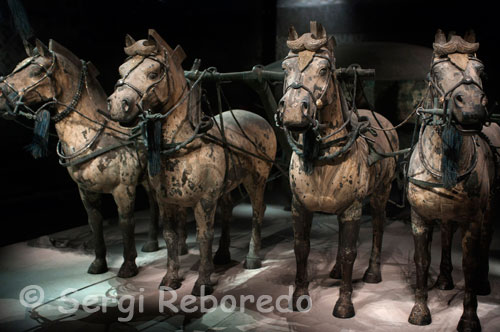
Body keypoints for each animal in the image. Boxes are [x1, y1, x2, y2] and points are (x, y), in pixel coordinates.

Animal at [0, 38, 172, 278]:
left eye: (35, 71)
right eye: (17, 66)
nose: (0, 96)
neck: (95, 137)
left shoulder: (123, 189)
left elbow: (126, 222)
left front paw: (128, 266)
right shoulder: (86, 192)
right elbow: (94, 223)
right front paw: (98, 264)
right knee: (154, 204)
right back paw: (151, 244)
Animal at [107, 30, 278, 296]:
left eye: (153, 73)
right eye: (121, 69)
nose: (117, 105)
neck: (185, 146)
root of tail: (259, 118)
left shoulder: (204, 200)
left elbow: (204, 236)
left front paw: (203, 282)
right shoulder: (166, 201)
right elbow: (170, 237)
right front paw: (170, 278)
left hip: (257, 180)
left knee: (257, 212)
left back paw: (252, 257)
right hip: (227, 187)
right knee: (228, 211)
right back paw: (223, 254)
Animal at [278, 22, 398, 318]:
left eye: (323, 69)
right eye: (285, 67)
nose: (294, 112)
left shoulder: (352, 209)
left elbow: (348, 252)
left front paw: (344, 304)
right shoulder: (300, 206)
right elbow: (301, 248)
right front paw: (300, 296)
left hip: (381, 194)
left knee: (378, 227)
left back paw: (372, 272)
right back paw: (334, 270)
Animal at [408, 29, 498, 332]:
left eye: (481, 69)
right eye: (436, 71)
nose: (471, 108)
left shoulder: (473, 220)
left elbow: (470, 263)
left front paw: (469, 318)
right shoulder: (420, 218)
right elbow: (422, 260)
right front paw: (420, 311)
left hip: (489, 211)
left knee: (486, 239)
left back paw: (483, 283)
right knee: (446, 234)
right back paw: (445, 279)